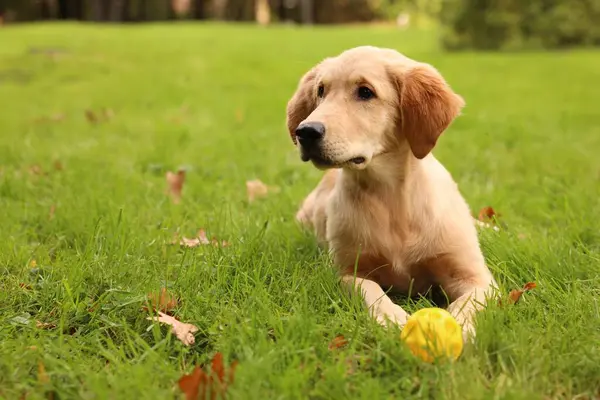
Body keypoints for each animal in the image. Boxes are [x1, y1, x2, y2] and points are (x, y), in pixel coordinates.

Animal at [286, 47, 496, 340]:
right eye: (320, 91)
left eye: (365, 92)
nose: (305, 131)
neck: (391, 199)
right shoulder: (346, 271)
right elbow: (369, 291)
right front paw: (392, 319)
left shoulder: (476, 278)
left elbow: (467, 304)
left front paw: (459, 330)